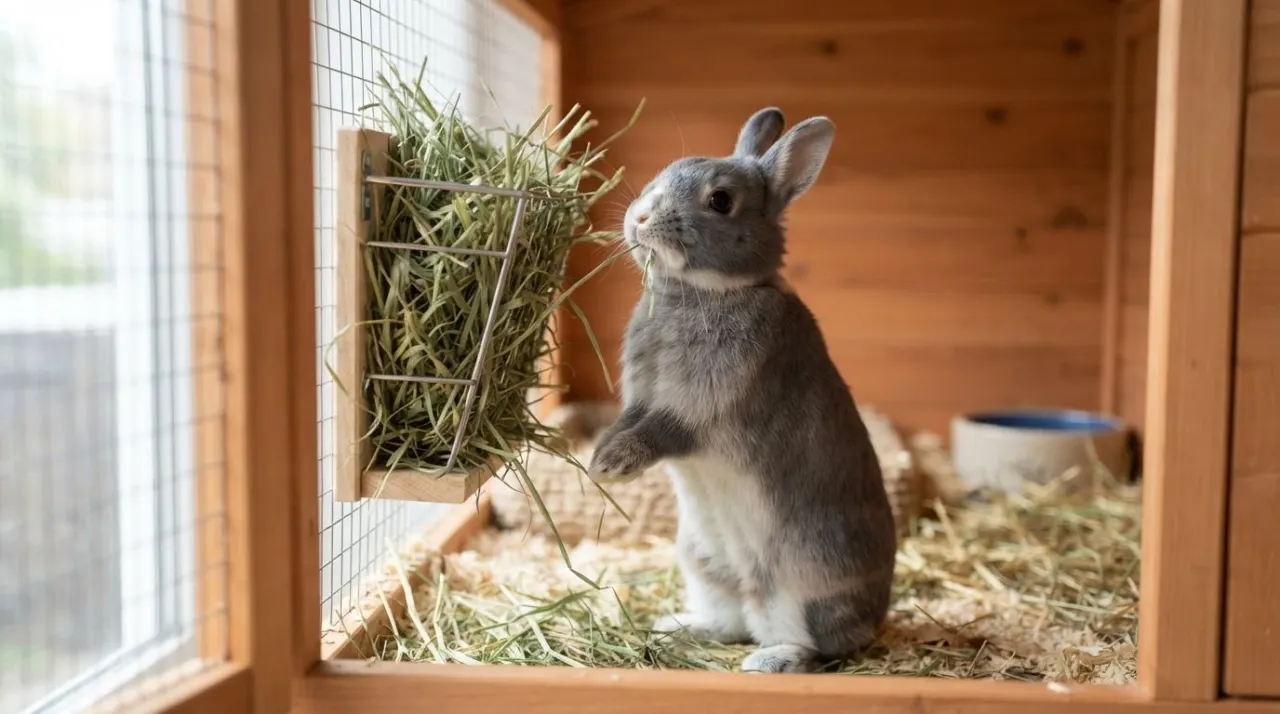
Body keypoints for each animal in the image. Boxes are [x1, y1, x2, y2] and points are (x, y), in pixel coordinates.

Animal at [586, 107, 898, 674]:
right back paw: (679, 628)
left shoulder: (703, 407)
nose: (639, 218)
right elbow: (628, 419)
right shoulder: (640, 398)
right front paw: (598, 460)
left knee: (812, 645)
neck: (705, 291)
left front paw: (613, 467)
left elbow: (663, 431)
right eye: (668, 170)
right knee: (730, 622)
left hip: (805, 582)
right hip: (701, 562)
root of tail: (874, 619)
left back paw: (769, 662)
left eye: (720, 201)